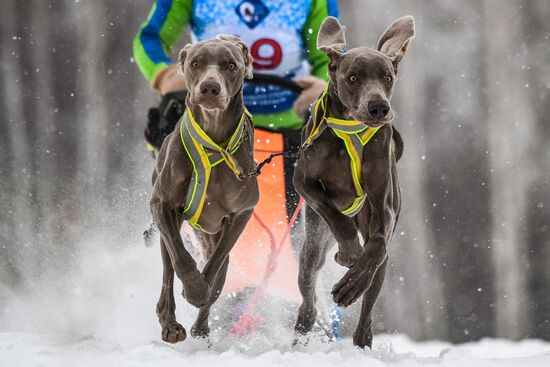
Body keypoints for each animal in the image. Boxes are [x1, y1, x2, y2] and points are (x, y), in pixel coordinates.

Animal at [150, 35, 260, 344]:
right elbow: (182, 259)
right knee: (168, 269)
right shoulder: (162, 204)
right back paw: (170, 324)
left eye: (231, 65)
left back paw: (202, 326)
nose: (210, 88)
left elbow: (215, 267)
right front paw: (194, 288)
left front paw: (201, 291)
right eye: (195, 63)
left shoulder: (241, 213)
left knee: (219, 273)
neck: (214, 144)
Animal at [296, 15, 416, 350]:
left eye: (387, 77)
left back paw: (362, 336)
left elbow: (376, 245)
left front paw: (352, 282)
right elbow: (334, 214)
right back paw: (304, 323)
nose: (379, 107)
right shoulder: (303, 180)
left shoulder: (382, 204)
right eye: (352, 77)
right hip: (313, 243)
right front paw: (348, 251)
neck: (351, 128)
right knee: (308, 290)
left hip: (380, 260)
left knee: (370, 297)